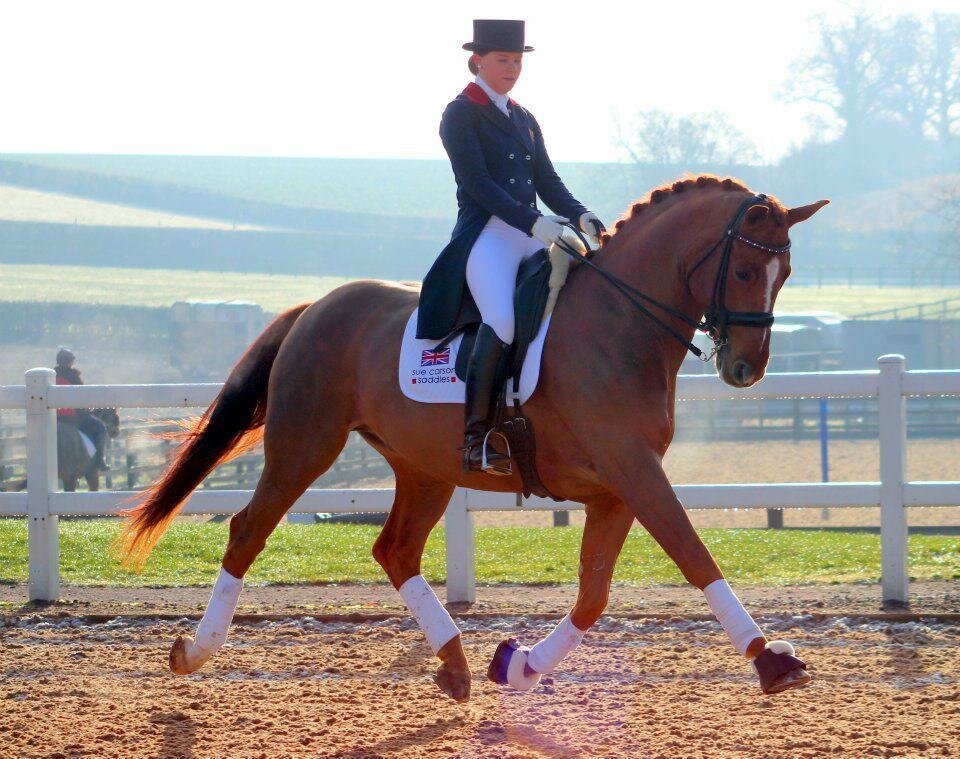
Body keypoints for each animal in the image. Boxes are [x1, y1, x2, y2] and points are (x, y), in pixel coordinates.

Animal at [120, 177, 828, 700]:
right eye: (745, 270)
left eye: (787, 273)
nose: (746, 368)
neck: (619, 322)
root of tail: (314, 308)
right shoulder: (633, 471)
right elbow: (692, 553)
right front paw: (770, 659)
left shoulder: (616, 488)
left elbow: (593, 595)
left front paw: (517, 664)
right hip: (305, 445)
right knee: (249, 531)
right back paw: (194, 651)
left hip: (424, 467)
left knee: (395, 551)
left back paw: (457, 662)